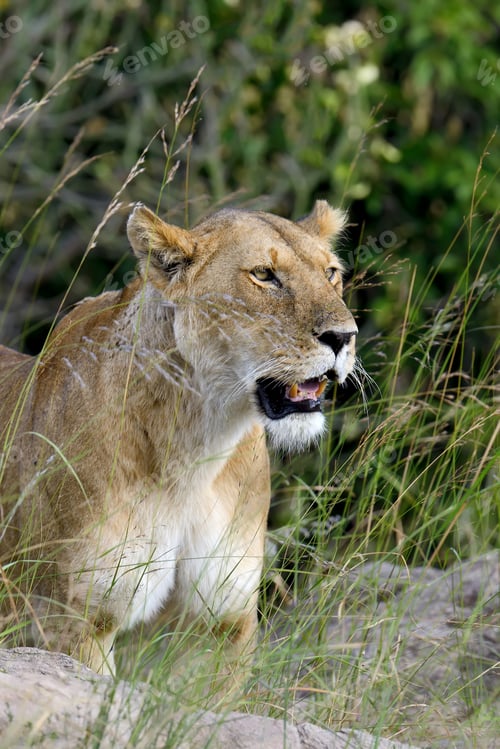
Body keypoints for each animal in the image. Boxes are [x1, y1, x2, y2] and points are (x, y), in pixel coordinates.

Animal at [0, 200, 357, 691]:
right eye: (264, 275)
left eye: (331, 273)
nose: (344, 337)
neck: (197, 447)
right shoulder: (74, 621)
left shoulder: (226, 618)